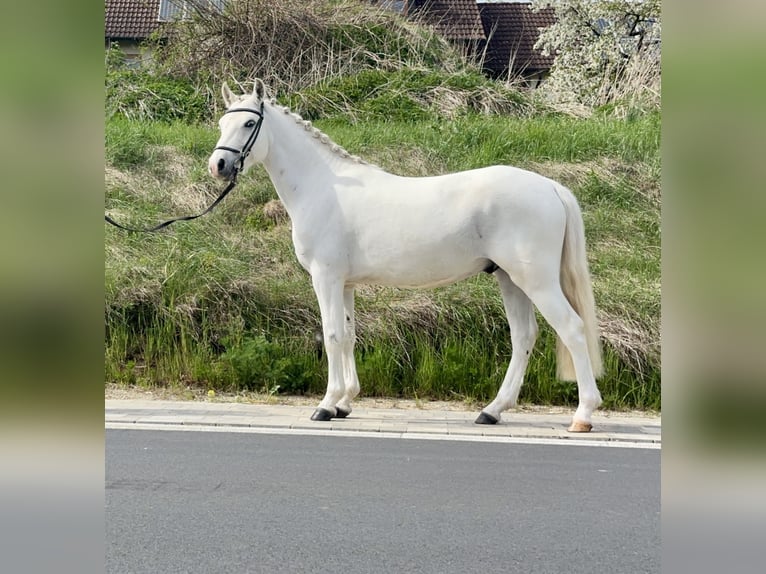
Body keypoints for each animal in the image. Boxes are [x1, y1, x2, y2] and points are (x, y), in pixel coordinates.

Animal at [210, 80, 608, 432]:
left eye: (249, 123)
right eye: (221, 123)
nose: (218, 166)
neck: (324, 187)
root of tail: (552, 188)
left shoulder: (326, 277)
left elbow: (332, 335)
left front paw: (326, 405)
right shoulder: (346, 284)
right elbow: (349, 335)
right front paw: (344, 403)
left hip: (536, 281)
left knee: (572, 329)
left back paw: (583, 414)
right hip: (510, 280)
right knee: (523, 337)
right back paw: (492, 411)